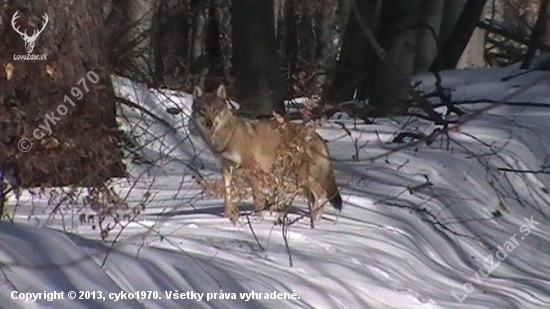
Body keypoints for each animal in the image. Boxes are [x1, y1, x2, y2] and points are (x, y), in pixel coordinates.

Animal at [192, 84, 342, 224]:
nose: (209, 123)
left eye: (215, 110)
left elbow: (257, 200)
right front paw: (226, 217)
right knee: (314, 197)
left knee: (321, 194)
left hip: (302, 177)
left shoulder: (254, 171)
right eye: (203, 110)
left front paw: (259, 221)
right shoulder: (225, 170)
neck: (227, 137)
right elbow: (227, 197)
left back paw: (315, 221)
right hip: (297, 180)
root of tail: (318, 137)